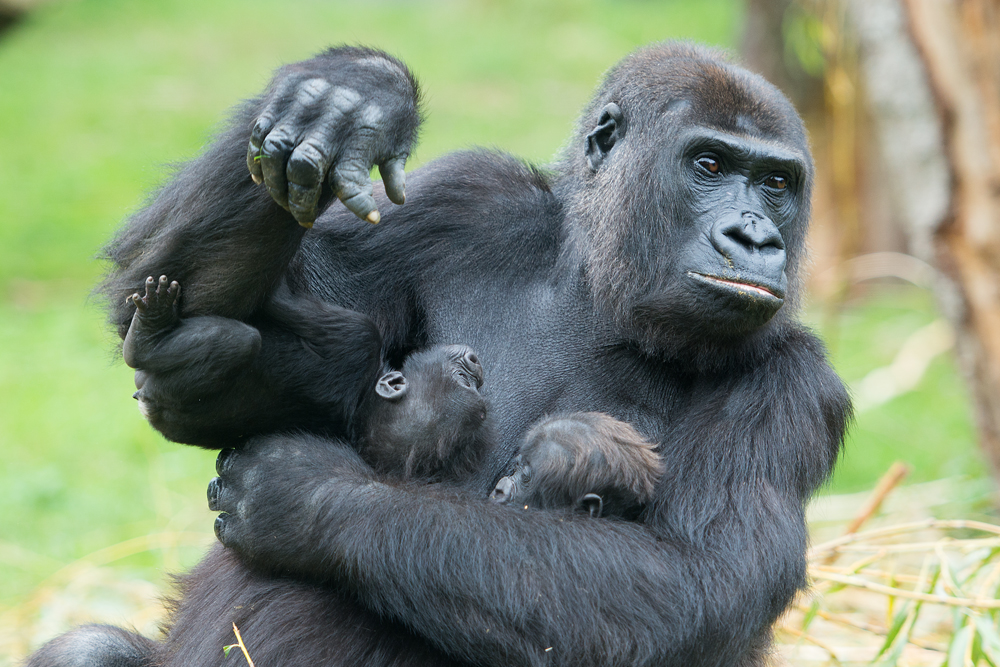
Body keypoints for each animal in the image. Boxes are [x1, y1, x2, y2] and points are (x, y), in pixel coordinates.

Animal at [47, 41, 848, 667]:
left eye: (777, 183)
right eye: (708, 164)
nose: (756, 238)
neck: (600, 286)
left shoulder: (793, 385)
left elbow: (695, 585)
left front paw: (305, 495)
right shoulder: (464, 200)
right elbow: (206, 336)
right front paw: (358, 89)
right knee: (89, 647)